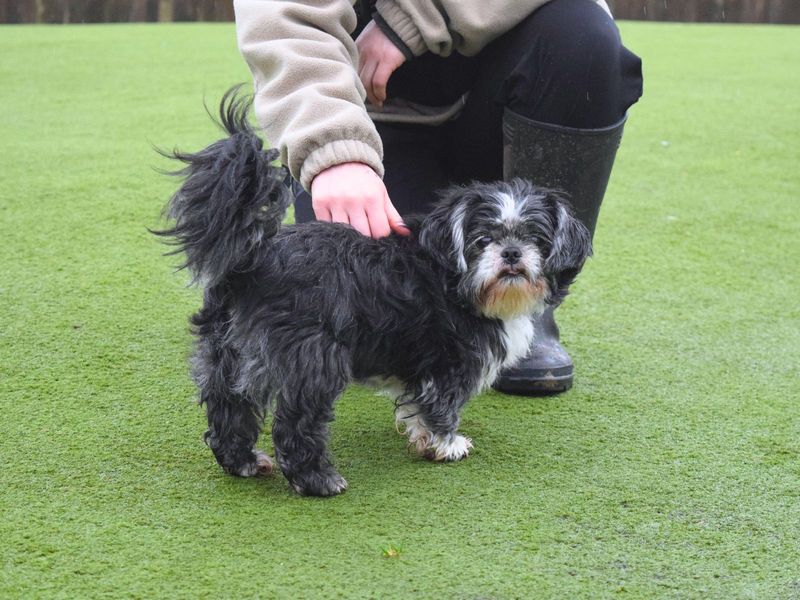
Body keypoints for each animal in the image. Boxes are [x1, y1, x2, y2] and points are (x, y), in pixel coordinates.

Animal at [156, 86, 592, 494]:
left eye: (537, 239)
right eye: (482, 240)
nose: (513, 253)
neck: (454, 280)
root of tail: (254, 257)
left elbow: (417, 407)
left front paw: (424, 440)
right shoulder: (449, 362)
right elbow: (442, 406)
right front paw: (447, 445)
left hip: (227, 355)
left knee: (228, 409)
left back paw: (242, 462)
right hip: (312, 360)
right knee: (295, 424)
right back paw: (318, 481)